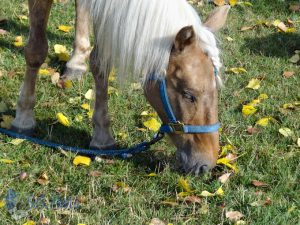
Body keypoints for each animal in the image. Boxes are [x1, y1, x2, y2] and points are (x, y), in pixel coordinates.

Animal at [11, 0, 230, 175]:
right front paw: (24, 117)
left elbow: (100, 62)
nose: (206, 164)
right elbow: (36, 50)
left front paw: (102, 135)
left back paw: (76, 62)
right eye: (188, 94)